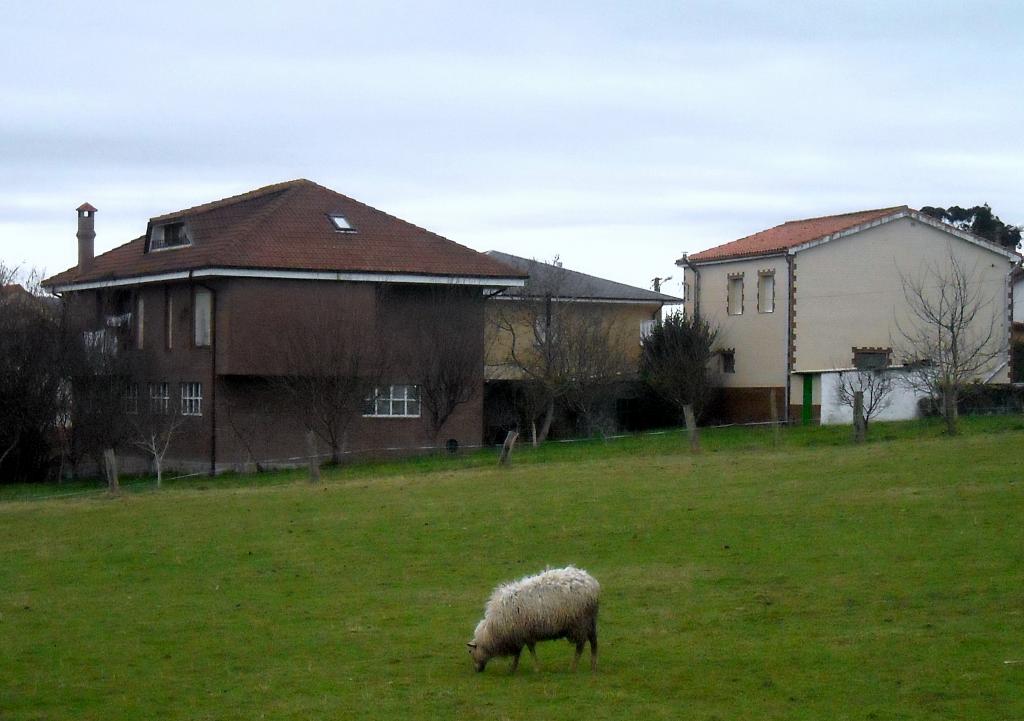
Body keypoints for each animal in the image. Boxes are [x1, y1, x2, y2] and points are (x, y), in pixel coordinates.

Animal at [466, 565, 598, 671]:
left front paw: (533, 668)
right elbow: (519, 652)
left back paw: (574, 667)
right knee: (593, 642)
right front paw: (514, 668)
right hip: (590, 621)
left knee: (580, 645)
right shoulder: (520, 634)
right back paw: (593, 665)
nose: (476, 670)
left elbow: (527, 651)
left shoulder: (523, 633)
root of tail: (592, 583)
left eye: (470, 651)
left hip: (579, 623)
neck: (491, 631)